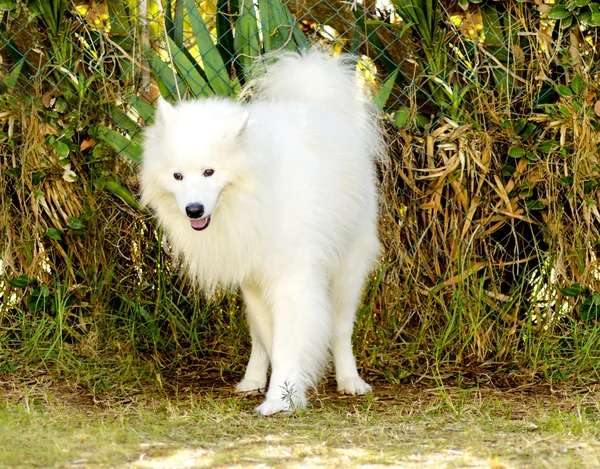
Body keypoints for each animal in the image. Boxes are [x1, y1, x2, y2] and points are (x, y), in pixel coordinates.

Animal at [140, 49, 382, 414]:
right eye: (177, 176)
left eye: (210, 172)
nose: (193, 210)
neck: (255, 190)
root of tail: (314, 103)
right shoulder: (255, 278)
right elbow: (271, 340)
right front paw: (281, 392)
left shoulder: (291, 281)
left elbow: (289, 342)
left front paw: (281, 398)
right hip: (253, 288)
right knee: (258, 338)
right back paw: (252, 378)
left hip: (346, 271)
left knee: (341, 329)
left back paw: (350, 381)